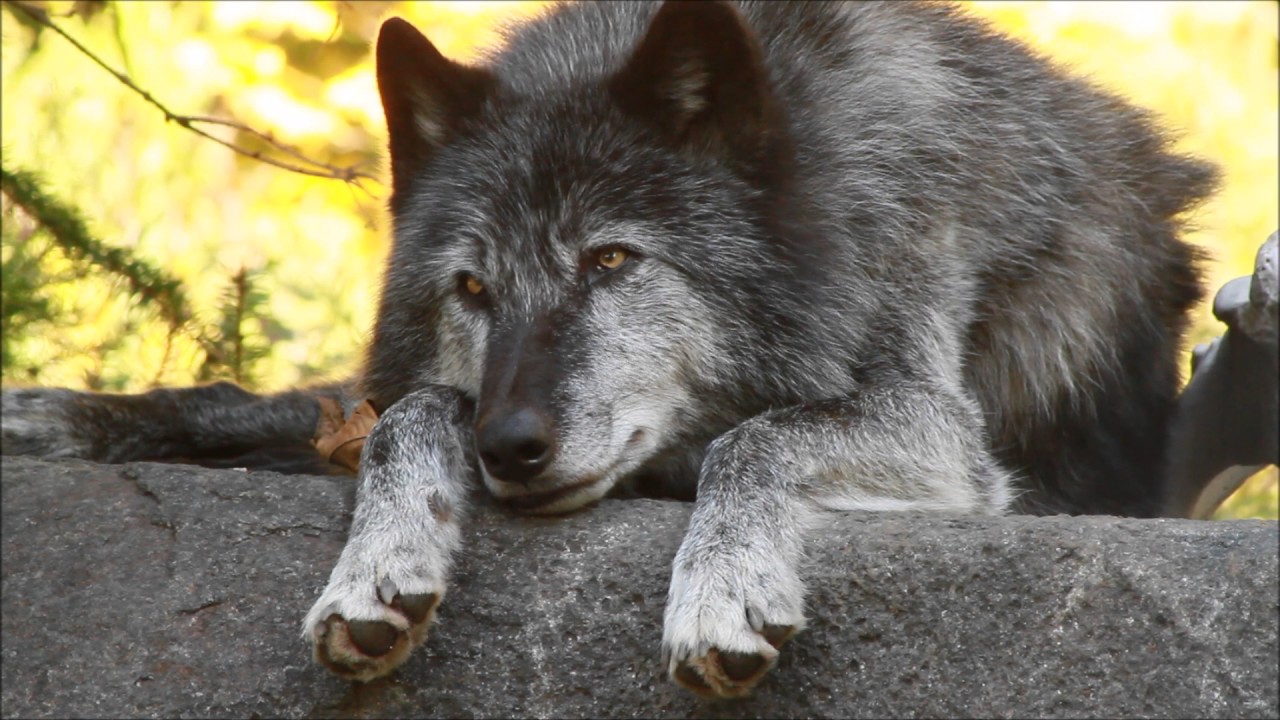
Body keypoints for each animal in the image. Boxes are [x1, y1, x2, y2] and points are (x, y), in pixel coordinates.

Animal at [2, 0, 1218, 696]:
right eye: (473, 288)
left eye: (612, 261)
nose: (510, 448)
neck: (815, 194)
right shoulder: (422, 388)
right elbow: (389, 411)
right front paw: (378, 561)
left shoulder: (945, 437)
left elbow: (753, 438)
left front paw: (721, 587)